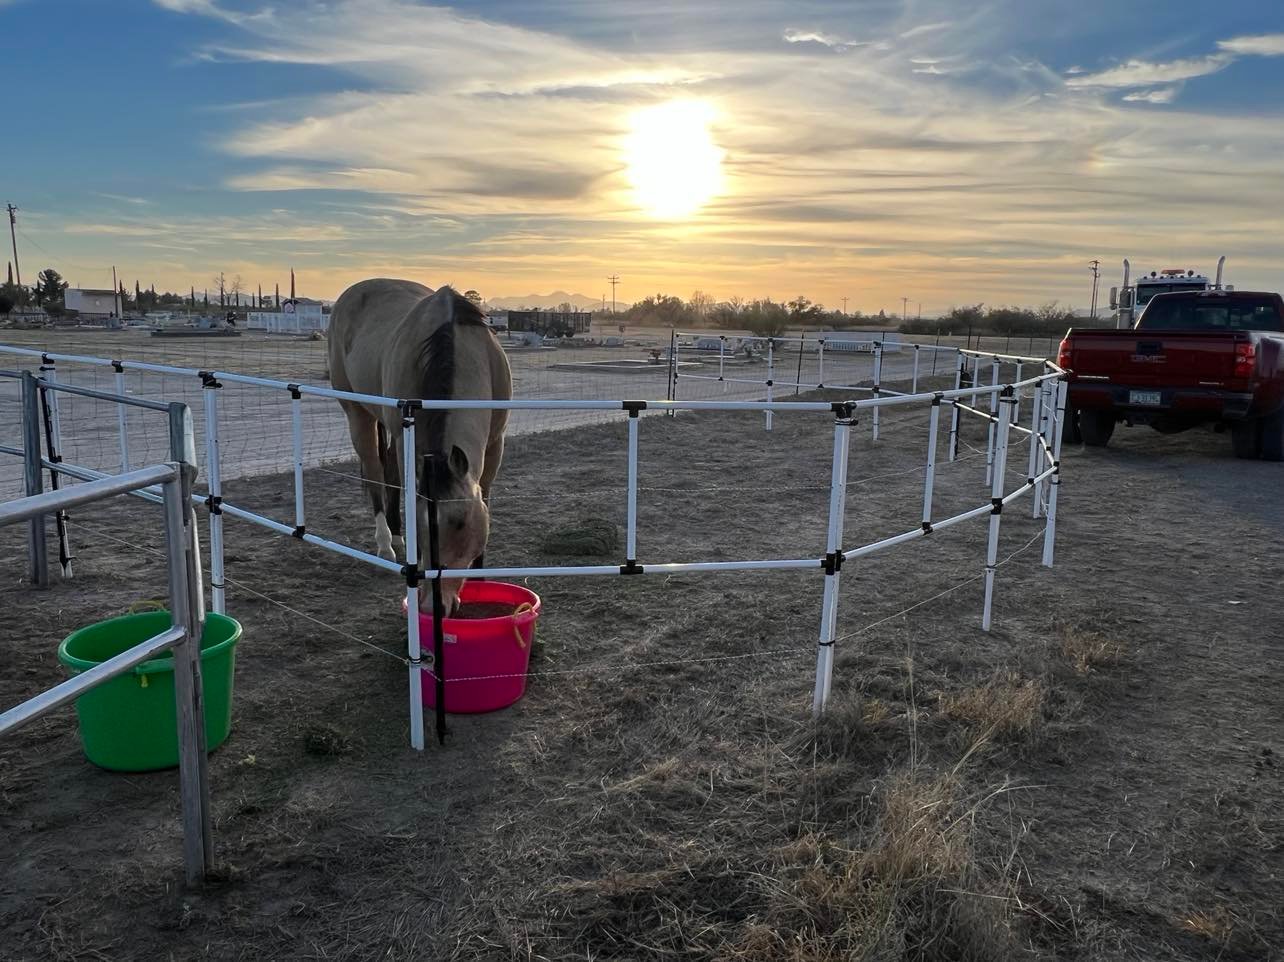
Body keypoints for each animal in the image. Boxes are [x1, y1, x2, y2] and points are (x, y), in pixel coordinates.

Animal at [328, 280, 512, 614]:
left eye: (460, 524)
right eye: (423, 529)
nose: (431, 607)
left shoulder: (495, 443)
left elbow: (487, 497)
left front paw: (479, 575)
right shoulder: (407, 440)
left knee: (388, 470)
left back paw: (397, 537)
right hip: (358, 414)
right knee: (375, 473)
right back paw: (386, 544)